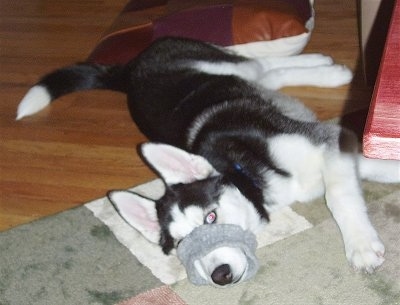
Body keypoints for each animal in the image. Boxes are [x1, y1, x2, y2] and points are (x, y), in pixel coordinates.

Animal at [18, 37, 400, 284]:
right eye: (182, 243)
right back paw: (324, 66)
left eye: (211, 217)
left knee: (256, 63)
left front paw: (361, 246)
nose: (220, 275)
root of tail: (129, 71)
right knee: (267, 74)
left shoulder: (329, 141)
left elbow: (339, 196)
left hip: (216, 63)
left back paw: (327, 68)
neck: (247, 173)